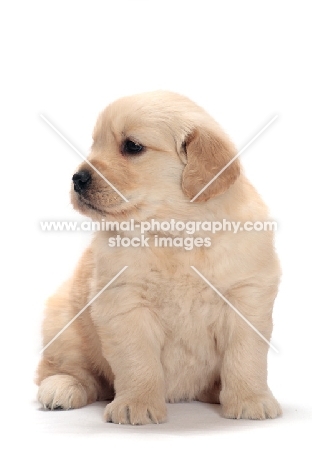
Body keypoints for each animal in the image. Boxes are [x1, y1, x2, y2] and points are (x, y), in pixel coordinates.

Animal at [36, 90, 280, 424]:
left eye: (132, 146)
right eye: (95, 144)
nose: (77, 179)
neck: (173, 232)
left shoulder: (247, 297)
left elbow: (245, 357)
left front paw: (251, 399)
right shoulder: (124, 303)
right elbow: (137, 360)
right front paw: (136, 403)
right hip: (63, 322)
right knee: (66, 370)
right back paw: (61, 388)